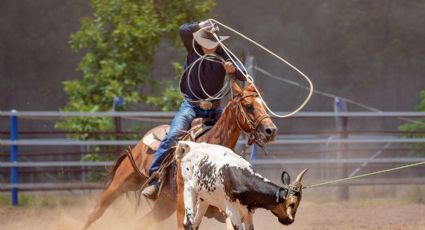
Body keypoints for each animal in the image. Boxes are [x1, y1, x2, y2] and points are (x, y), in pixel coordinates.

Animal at [83, 80, 276, 229]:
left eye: (264, 106)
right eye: (249, 106)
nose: (271, 131)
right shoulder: (184, 204)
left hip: (164, 205)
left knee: (142, 222)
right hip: (120, 184)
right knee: (96, 212)